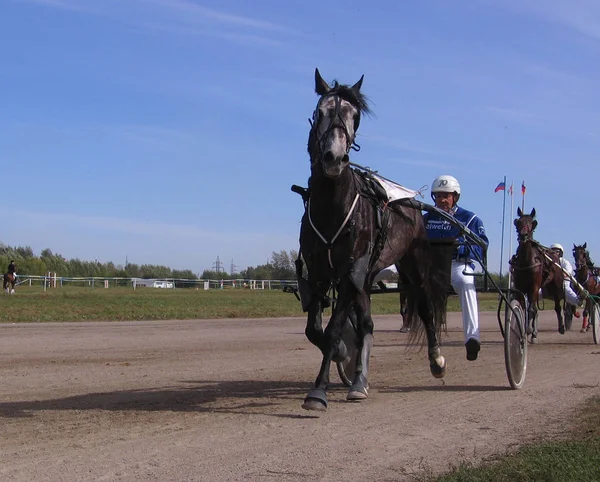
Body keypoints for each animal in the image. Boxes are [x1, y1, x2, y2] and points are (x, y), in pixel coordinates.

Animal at [298, 68, 448, 410]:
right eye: (320, 111)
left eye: (355, 116)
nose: (335, 158)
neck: (333, 208)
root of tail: (411, 199)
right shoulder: (319, 272)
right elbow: (315, 330)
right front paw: (342, 352)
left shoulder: (348, 272)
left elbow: (334, 328)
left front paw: (318, 391)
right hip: (367, 276)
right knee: (366, 324)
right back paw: (359, 381)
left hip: (412, 264)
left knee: (426, 308)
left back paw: (436, 360)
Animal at [508, 205, 564, 340]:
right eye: (518, 222)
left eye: (532, 224)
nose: (523, 236)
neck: (526, 262)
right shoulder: (519, 286)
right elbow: (523, 308)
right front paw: (523, 329)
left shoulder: (534, 286)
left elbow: (531, 309)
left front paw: (528, 329)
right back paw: (534, 334)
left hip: (555, 285)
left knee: (557, 306)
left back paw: (561, 327)